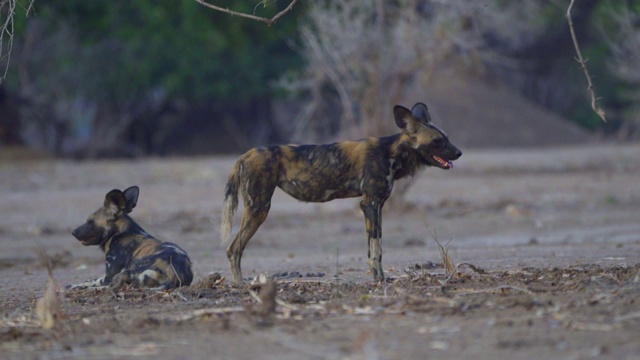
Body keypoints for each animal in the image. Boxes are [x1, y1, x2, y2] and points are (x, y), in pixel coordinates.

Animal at [220, 102, 460, 286]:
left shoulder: (376, 206)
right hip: (259, 209)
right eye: (438, 141)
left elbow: (376, 248)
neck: (392, 152)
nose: (459, 152)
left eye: (447, 138)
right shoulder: (371, 204)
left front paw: (379, 278)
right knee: (233, 249)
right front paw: (379, 280)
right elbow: (376, 249)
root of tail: (245, 154)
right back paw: (240, 285)